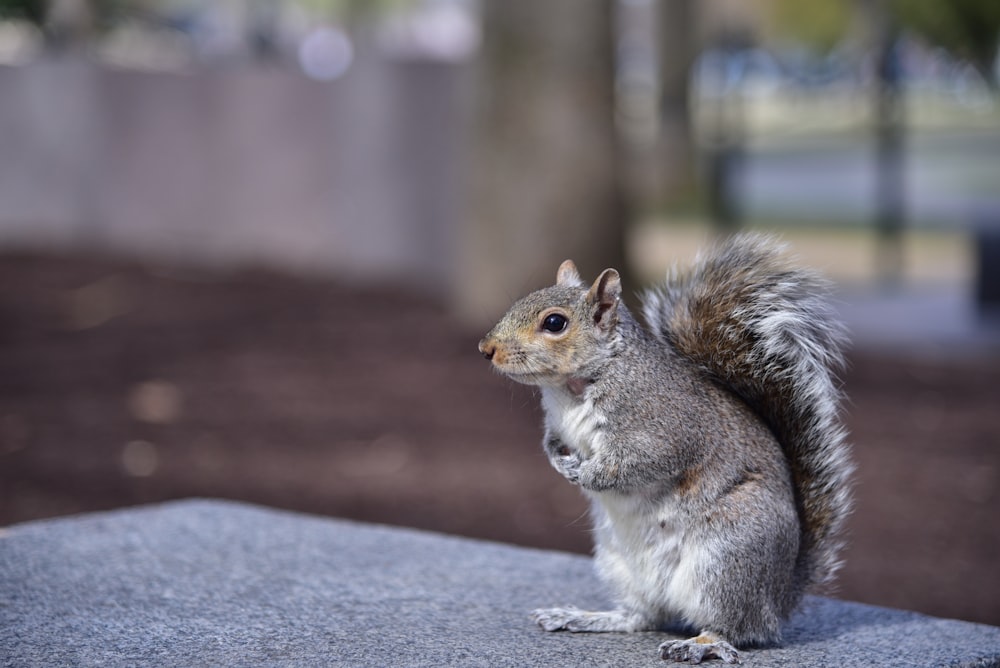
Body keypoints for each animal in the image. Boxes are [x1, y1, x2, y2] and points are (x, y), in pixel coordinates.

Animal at [476, 235, 852, 664]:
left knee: (738, 628)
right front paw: (561, 464)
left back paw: (701, 644)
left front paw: (589, 474)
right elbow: (550, 444)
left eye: (555, 323)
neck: (572, 388)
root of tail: (779, 597)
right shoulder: (557, 426)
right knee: (641, 616)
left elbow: (637, 464)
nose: (486, 348)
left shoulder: (663, 430)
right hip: (619, 564)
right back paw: (584, 616)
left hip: (726, 559)